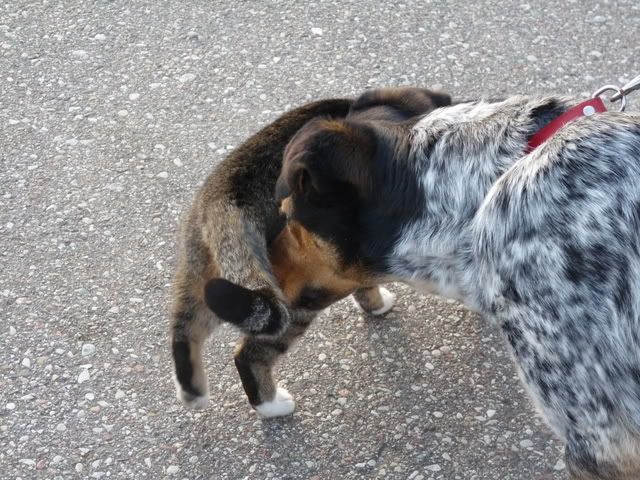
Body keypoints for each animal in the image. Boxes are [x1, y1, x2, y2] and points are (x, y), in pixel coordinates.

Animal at [170, 87, 451, 417]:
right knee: (250, 352)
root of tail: (222, 199)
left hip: (207, 276)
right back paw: (270, 405)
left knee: (185, 328)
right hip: (292, 300)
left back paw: (193, 392)